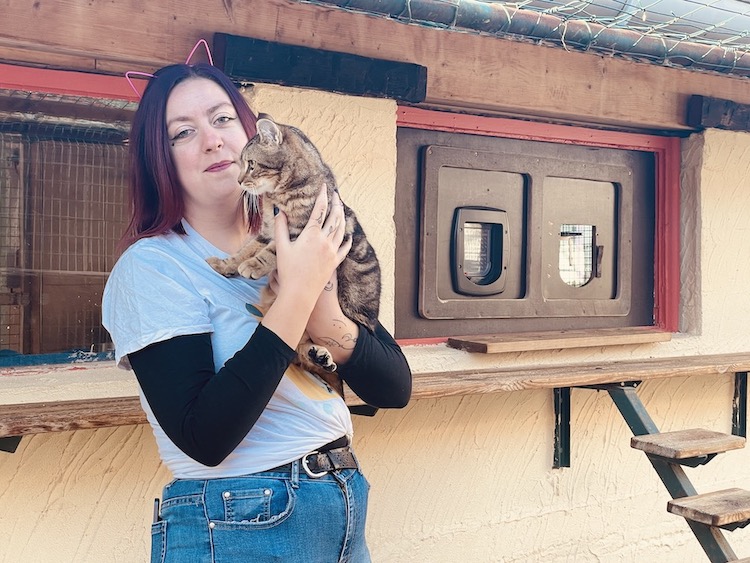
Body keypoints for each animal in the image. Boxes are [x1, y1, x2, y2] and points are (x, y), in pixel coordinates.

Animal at [206, 118, 382, 392]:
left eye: (251, 164)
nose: (238, 181)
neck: (278, 197)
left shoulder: (298, 234)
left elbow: (269, 253)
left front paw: (252, 266)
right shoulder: (266, 232)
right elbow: (243, 251)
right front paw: (225, 265)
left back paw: (320, 356)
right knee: (298, 352)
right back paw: (317, 355)